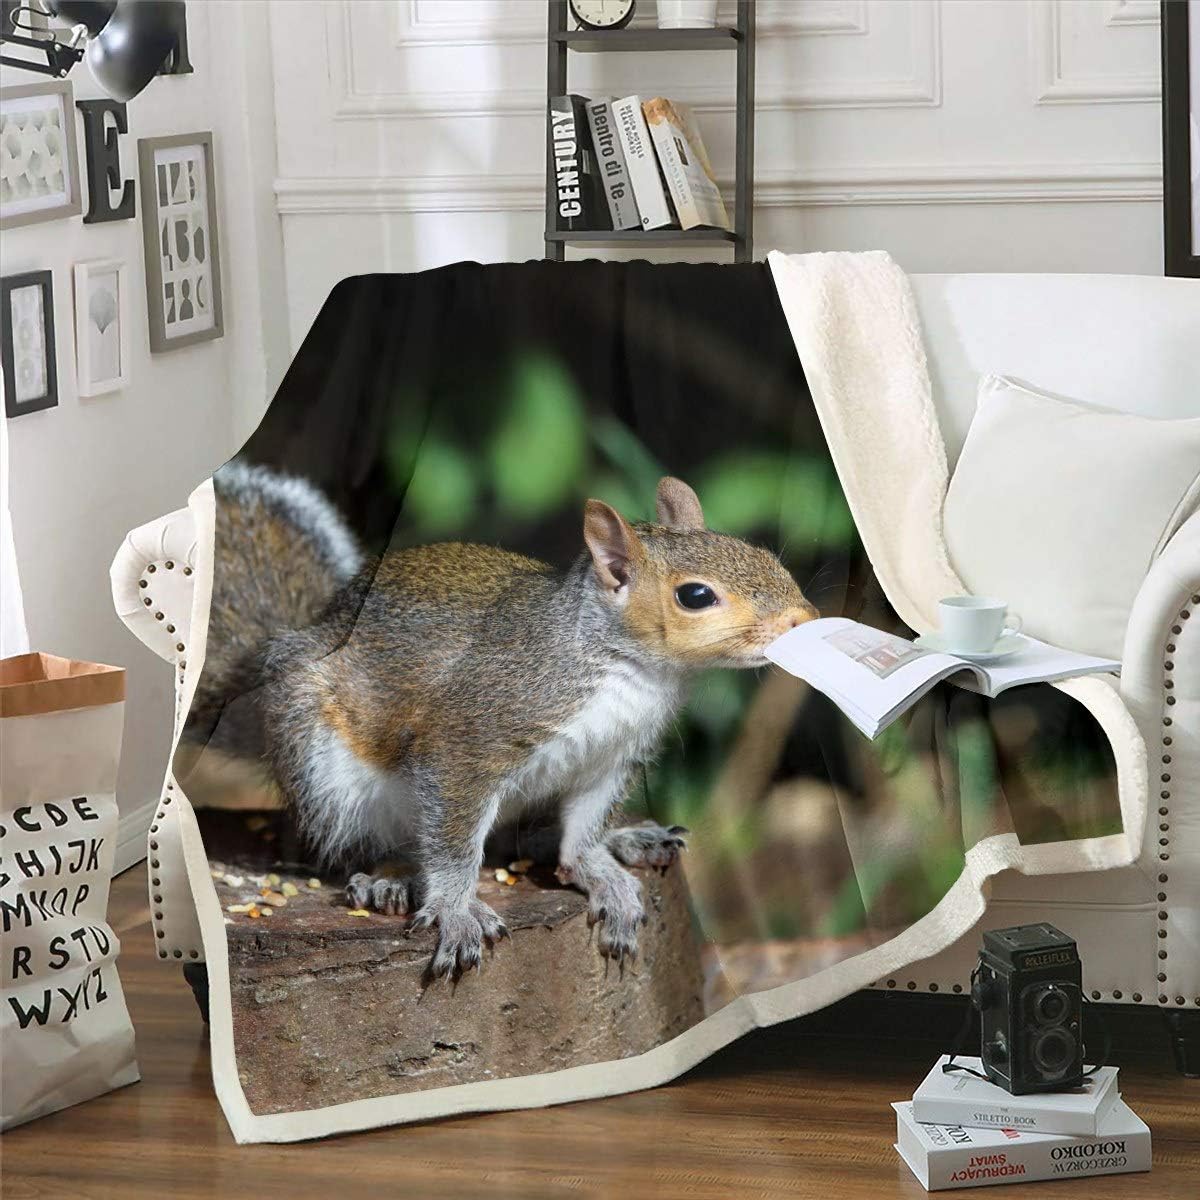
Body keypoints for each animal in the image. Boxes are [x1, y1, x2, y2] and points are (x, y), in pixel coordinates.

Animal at [198, 465, 817, 979]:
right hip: (323, 768)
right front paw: (455, 910)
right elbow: (454, 844)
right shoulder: (471, 740)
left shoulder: (609, 761)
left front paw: (599, 869)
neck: (628, 672)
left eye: (764, 555)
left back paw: (624, 839)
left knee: (516, 840)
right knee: (360, 842)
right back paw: (388, 879)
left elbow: (581, 834)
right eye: (695, 595)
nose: (804, 620)